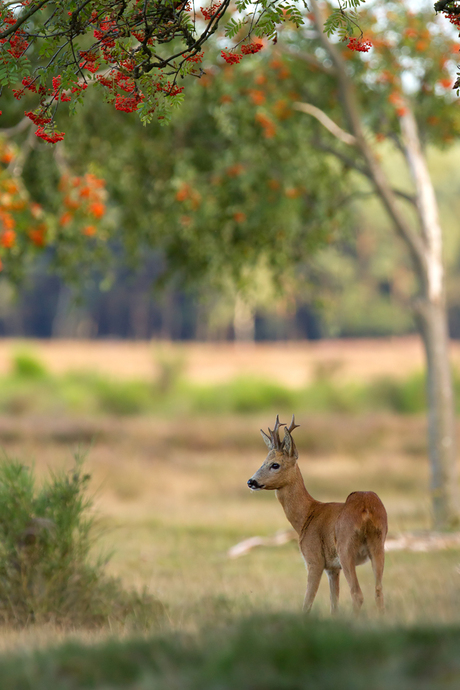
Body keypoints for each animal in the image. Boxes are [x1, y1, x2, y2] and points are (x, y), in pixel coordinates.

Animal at [248, 414, 388, 612]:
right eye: (263, 462)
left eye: (275, 465)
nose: (251, 481)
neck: (307, 514)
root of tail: (366, 509)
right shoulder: (332, 568)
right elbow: (334, 605)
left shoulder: (314, 559)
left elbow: (307, 604)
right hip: (378, 545)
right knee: (378, 592)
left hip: (346, 549)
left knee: (357, 594)